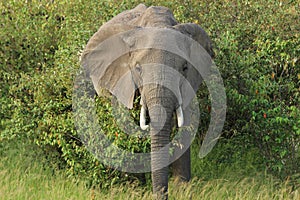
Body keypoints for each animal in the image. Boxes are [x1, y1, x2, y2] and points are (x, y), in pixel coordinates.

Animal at [81, 3, 214, 199]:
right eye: (138, 68)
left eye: (184, 67)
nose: (161, 194)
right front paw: (134, 187)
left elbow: (186, 125)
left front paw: (183, 189)